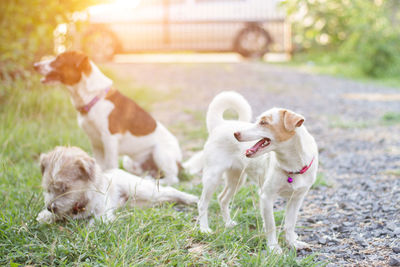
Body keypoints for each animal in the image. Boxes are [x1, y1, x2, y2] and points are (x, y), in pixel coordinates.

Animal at [34, 50, 183, 185]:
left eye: (59, 59)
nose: (35, 65)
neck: (93, 98)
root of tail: (180, 162)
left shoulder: (109, 140)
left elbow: (110, 165)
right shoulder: (95, 143)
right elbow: (100, 165)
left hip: (160, 153)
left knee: (172, 178)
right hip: (129, 161)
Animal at [37, 147, 198, 224]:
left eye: (65, 188)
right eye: (48, 189)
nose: (49, 208)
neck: (81, 201)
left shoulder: (103, 210)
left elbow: (97, 221)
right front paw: (45, 216)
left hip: (145, 191)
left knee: (170, 190)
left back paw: (191, 199)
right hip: (141, 202)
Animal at [184, 91, 318, 253]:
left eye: (264, 122)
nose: (236, 133)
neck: (292, 165)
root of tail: (221, 124)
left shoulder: (296, 199)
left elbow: (290, 224)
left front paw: (292, 243)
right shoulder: (266, 197)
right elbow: (271, 226)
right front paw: (273, 248)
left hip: (236, 180)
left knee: (222, 199)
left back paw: (228, 223)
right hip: (212, 177)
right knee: (202, 203)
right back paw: (204, 229)